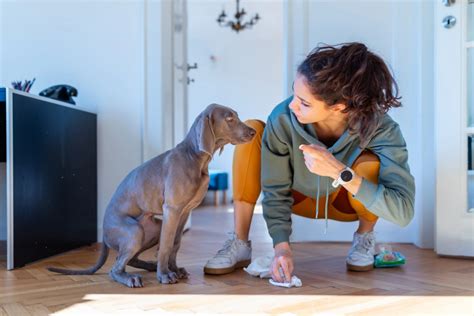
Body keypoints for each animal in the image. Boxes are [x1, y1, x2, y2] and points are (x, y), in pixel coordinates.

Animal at [47, 105, 256, 288]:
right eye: (229, 118)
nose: (254, 131)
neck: (195, 157)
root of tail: (104, 236)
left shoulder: (184, 212)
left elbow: (175, 243)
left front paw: (174, 269)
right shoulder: (172, 209)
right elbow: (166, 245)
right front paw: (165, 275)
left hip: (152, 228)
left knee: (128, 259)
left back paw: (148, 266)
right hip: (134, 230)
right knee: (115, 268)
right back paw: (131, 278)